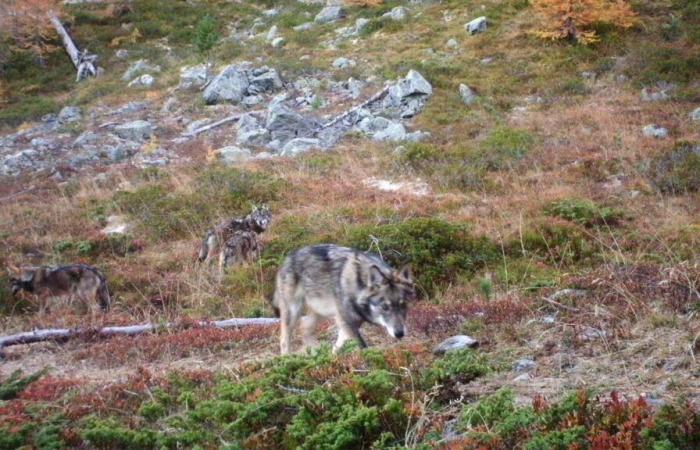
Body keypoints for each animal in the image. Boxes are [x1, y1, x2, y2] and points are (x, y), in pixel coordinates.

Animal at [270, 244, 416, 354]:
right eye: (385, 307)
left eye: (403, 305)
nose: (400, 333)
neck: (358, 284)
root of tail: (287, 259)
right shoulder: (346, 320)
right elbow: (362, 345)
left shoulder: (349, 322)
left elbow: (338, 345)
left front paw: (332, 358)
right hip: (293, 312)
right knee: (284, 339)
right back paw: (288, 359)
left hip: (321, 313)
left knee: (304, 330)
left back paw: (316, 354)